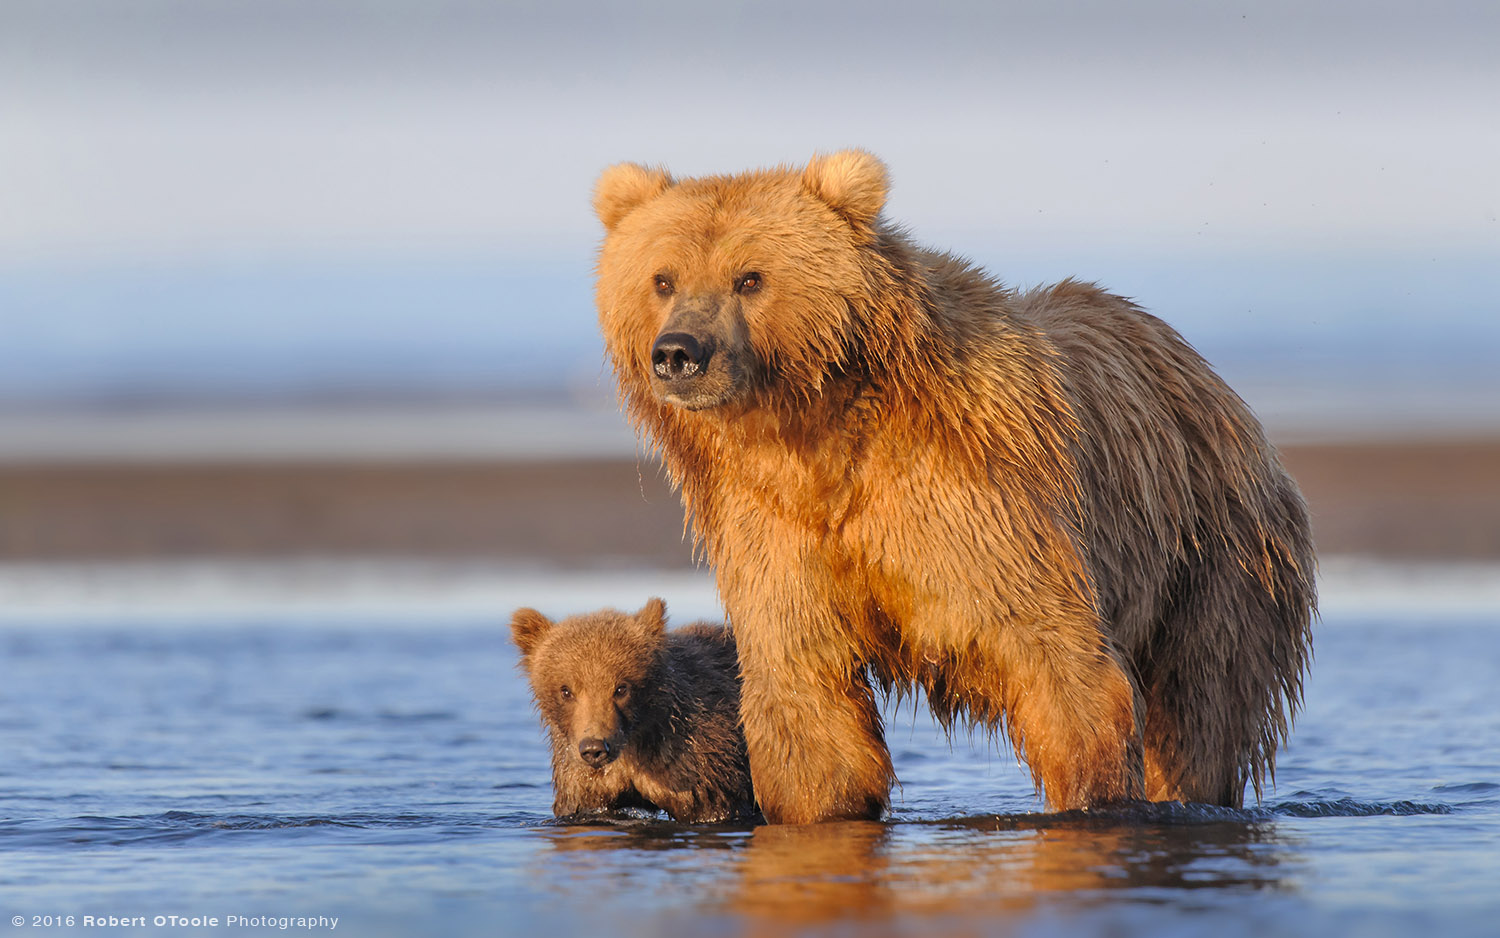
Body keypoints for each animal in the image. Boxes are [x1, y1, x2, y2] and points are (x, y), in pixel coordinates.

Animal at [591, 150, 1320, 822]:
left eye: (750, 277)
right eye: (662, 278)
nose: (680, 351)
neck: (817, 433)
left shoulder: (976, 503)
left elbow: (1060, 664)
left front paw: (1093, 803)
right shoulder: (771, 527)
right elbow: (807, 695)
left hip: (1213, 552)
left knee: (1201, 706)